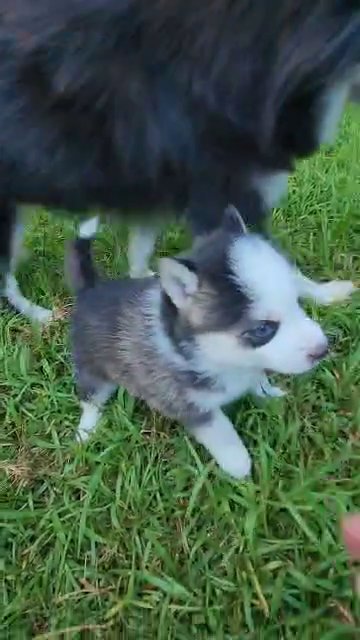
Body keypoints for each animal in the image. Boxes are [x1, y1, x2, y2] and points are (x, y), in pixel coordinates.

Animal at [67, 209, 352, 480]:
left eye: (297, 302)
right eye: (263, 329)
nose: (322, 349)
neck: (217, 357)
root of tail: (91, 290)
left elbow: (257, 377)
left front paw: (269, 394)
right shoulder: (190, 407)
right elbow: (222, 434)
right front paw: (240, 467)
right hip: (93, 369)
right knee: (91, 400)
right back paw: (85, 432)